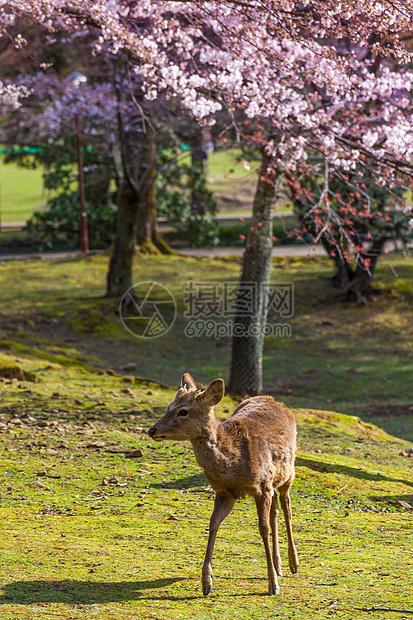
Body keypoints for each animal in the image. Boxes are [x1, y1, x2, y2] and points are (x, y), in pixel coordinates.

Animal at [146, 372, 298, 596]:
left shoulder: (261, 487)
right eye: (169, 406)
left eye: (183, 411)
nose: (152, 430)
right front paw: (206, 582)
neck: (235, 462)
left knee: (286, 506)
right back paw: (279, 566)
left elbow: (263, 528)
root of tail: (275, 400)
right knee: (276, 512)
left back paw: (293, 563)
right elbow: (213, 523)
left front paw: (272, 585)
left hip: (288, 473)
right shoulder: (225, 492)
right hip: (273, 483)